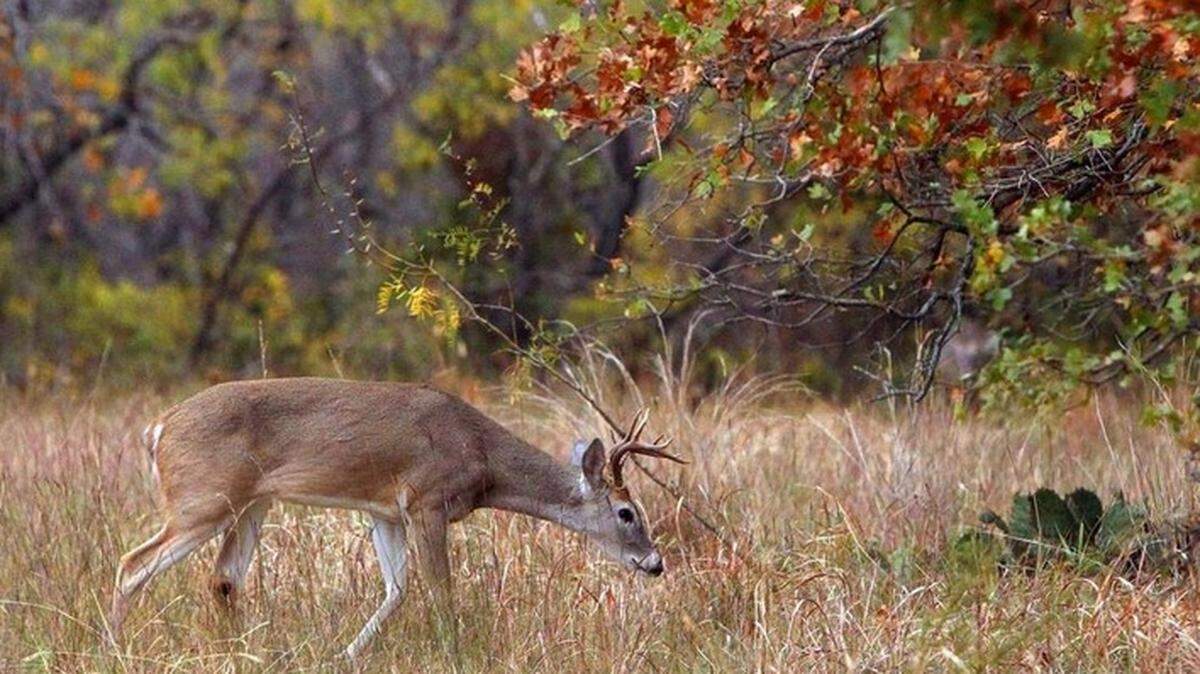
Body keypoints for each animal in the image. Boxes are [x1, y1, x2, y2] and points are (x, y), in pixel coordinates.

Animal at [108, 377, 683, 659]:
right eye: (627, 512)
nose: (655, 563)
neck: (482, 456)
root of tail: (158, 428)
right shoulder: (427, 500)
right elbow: (440, 590)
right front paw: (457, 654)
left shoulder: (385, 511)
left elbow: (396, 589)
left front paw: (344, 655)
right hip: (200, 497)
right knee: (131, 563)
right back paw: (114, 648)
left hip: (252, 502)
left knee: (224, 579)